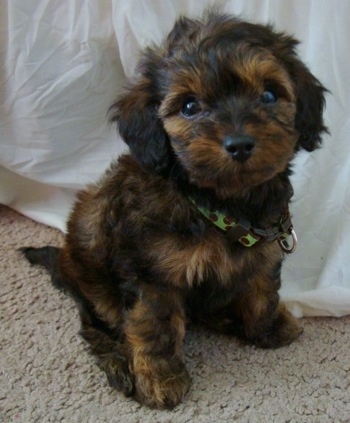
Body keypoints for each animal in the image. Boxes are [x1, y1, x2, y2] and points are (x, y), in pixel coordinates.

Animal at [21, 11, 328, 410]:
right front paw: (160, 379)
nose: (239, 143)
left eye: (270, 94)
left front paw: (269, 327)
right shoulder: (153, 272)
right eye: (189, 106)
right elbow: (155, 325)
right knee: (96, 325)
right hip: (94, 273)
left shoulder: (265, 242)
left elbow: (262, 288)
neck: (218, 204)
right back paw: (118, 361)